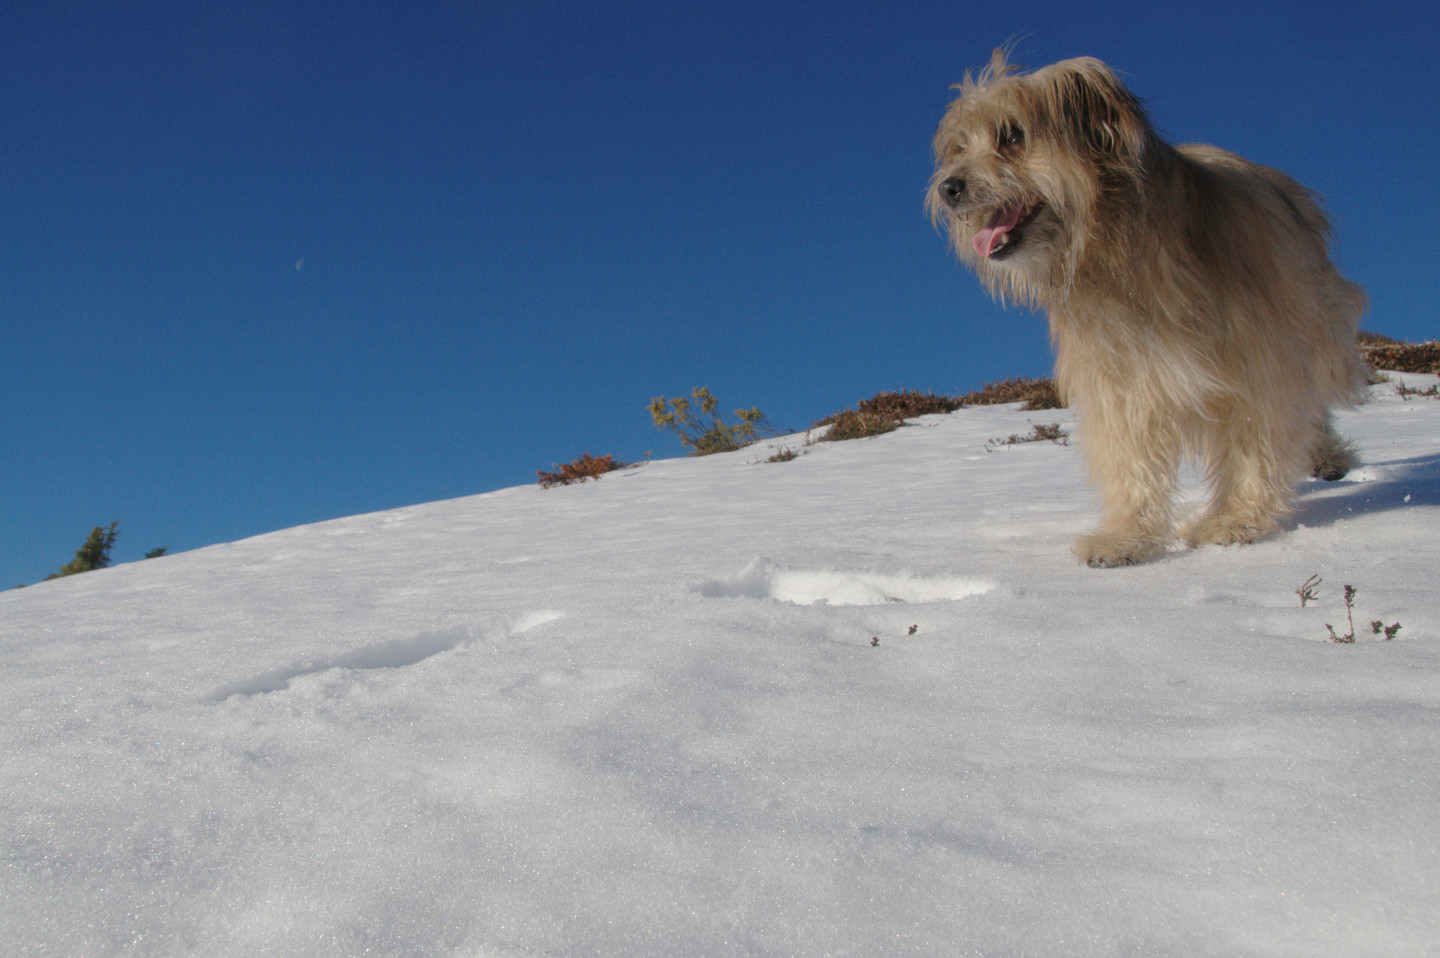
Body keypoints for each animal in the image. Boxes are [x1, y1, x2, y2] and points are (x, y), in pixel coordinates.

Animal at [927, 50, 1365, 561]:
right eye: (959, 147)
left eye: (1012, 135)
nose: (949, 188)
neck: (1120, 257)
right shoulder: (1121, 377)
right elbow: (1131, 457)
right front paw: (1127, 536)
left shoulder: (1261, 361)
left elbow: (1255, 444)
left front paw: (1235, 520)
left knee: (1315, 398)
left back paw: (1329, 455)